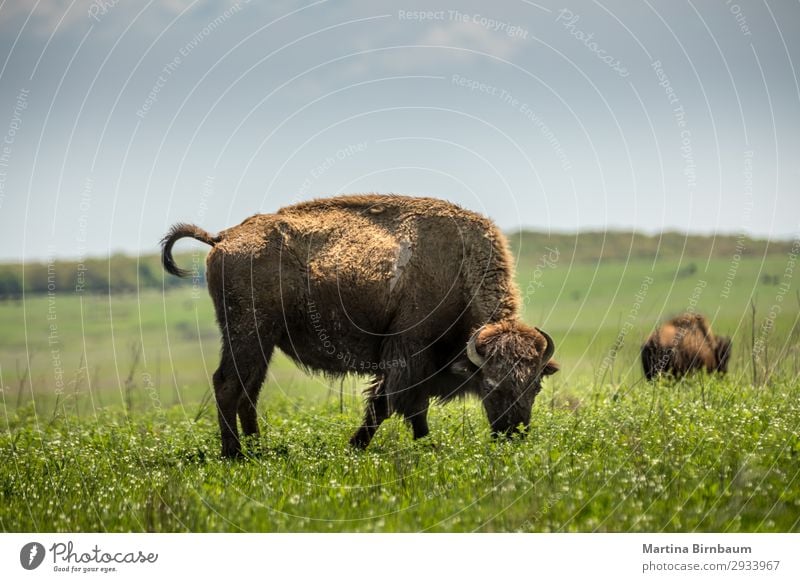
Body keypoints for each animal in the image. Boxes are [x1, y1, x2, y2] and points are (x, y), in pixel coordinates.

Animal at [160, 194, 560, 458]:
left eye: (536, 386)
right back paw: (235, 454)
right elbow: (391, 404)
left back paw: (259, 448)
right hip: (248, 333)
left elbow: (404, 406)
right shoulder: (407, 355)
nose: (514, 436)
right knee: (228, 384)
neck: (460, 268)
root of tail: (222, 237)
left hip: (261, 341)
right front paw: (365, 445)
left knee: (249, 390)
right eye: (491, 386)